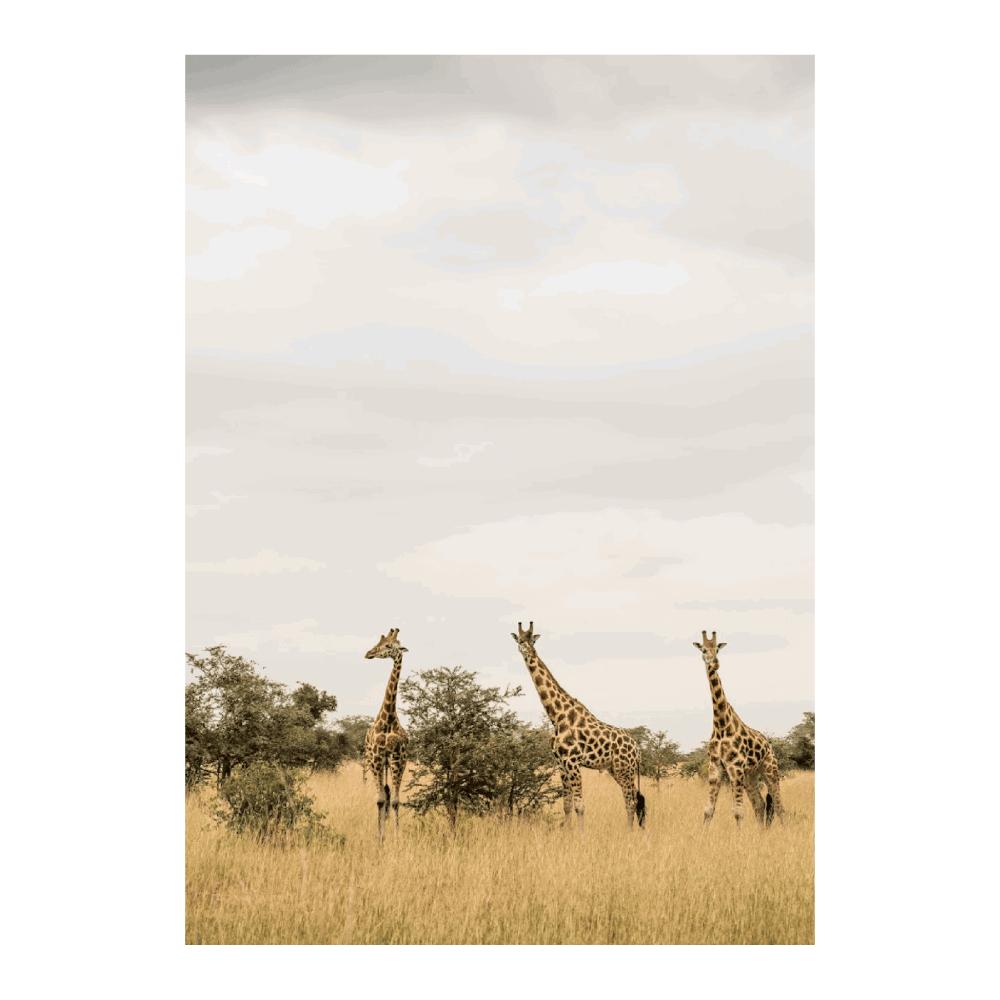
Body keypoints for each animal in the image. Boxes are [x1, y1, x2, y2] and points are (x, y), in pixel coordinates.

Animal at [511, 622, 645, 836]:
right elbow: (566, 804)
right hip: (617, 769)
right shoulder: (561, 763)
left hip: (625, 769)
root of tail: (638, 748)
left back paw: (629, 834)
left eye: (532, 640)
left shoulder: (572, 761)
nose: (527, 650)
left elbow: (579, 805)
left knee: (631, 800)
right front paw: (566, 835)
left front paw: (581, 837)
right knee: (635, 797)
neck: (557, 716)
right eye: (520, 640)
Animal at [693, 631, 786, 834]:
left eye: (717, 648)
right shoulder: (715, 766)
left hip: (769, 768)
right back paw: (761, 834)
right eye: (703, 649)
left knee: (779, 805)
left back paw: (786, 832)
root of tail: (768, 744)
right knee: (760, 804)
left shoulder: (735, 766)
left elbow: (738, 811)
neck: (720, 725)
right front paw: (701, 836)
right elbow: (708, 809)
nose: (715, 663)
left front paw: (740, 838)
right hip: (750, 775)